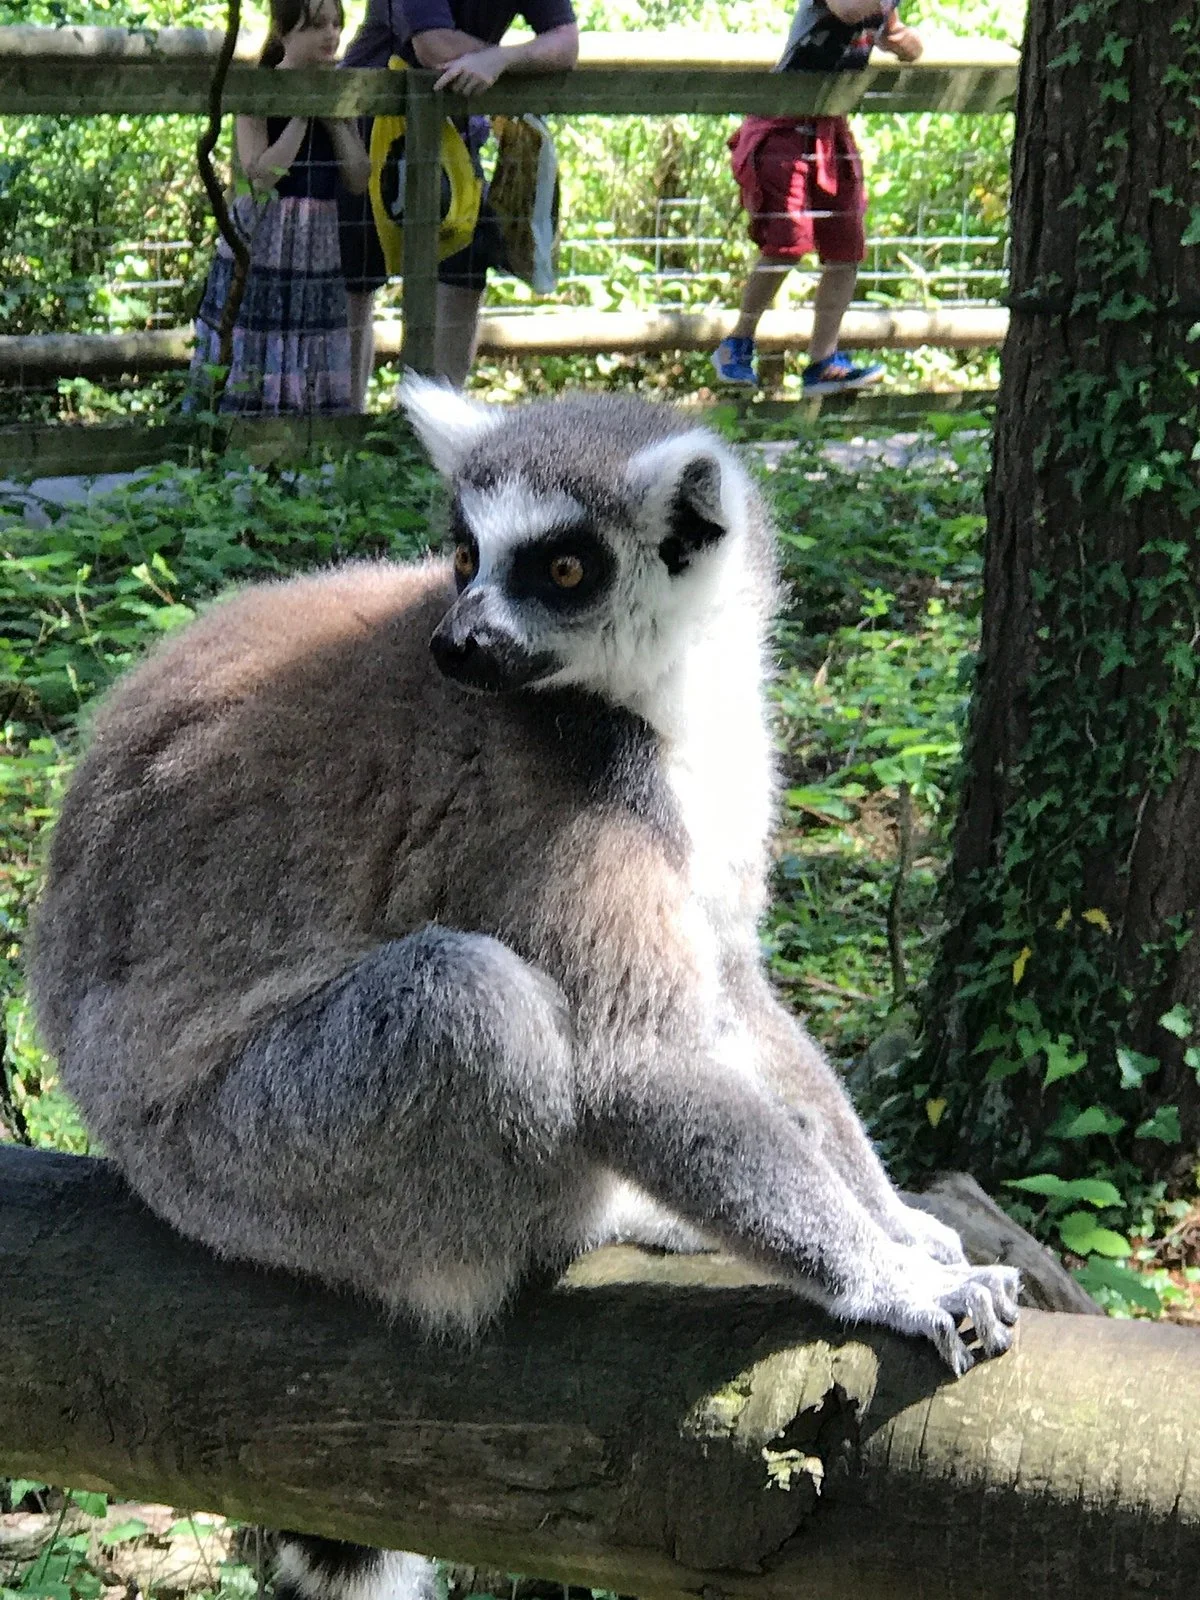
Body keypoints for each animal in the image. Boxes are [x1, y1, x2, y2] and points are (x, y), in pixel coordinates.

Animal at [29, 378, 1018, 1600]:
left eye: (562, 566)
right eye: (463, 555)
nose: (458, 643)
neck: (660, 702)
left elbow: (735, 997)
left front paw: (899, 1224)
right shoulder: (554, 799)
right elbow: (642, 1059)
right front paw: (888, 1280)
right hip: (250, 1163)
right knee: (468, 1005)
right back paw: (597, 1220)